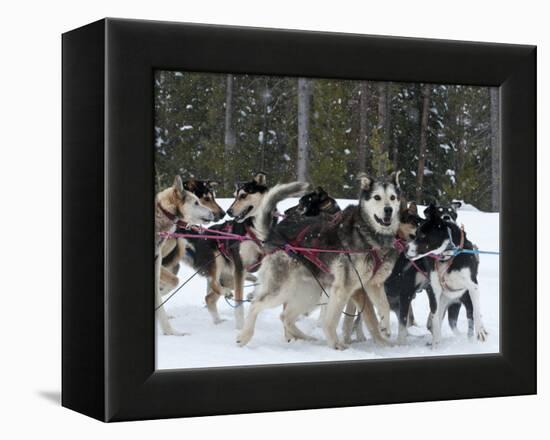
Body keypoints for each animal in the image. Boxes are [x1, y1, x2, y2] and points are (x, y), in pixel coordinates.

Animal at [406, 204, 488, 348]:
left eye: (422, 235)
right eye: (415, 234)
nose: (405, 248)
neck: (448, 256)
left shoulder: (472, 286)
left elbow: (477, 311)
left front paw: (480, 331)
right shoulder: (434, 290)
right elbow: (435, 319)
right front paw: (436, 344)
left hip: (464, 300)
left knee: (469, 318)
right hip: (444, 301)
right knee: (437, 319)